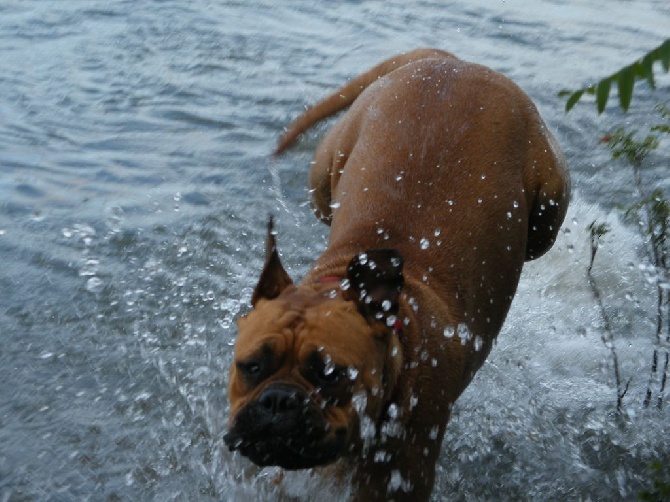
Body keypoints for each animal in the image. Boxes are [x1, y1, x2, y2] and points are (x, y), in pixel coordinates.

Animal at [226, 48, 572, 502]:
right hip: (326, 173)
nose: (279, 401)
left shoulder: (401, 473)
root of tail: (455, 62)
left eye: (332, 376)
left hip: (549, 205)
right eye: (251, 367)